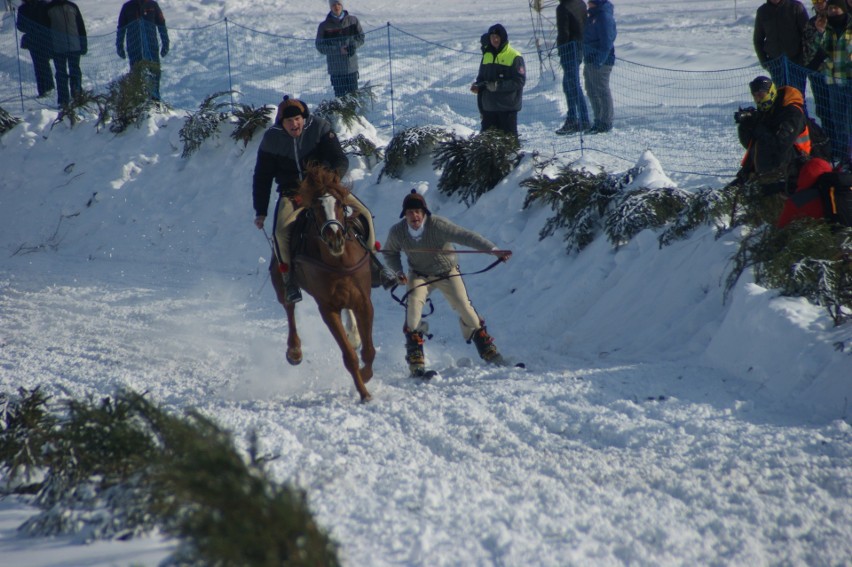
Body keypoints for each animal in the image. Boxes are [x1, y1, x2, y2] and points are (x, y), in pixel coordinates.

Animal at [270, 165, 376, 404]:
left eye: (340, 204)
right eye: (315, 209)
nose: (334, 238)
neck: (339, 261)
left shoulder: (364, 302)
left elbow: (369, 351)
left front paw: (365, 375)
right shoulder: (328, 309)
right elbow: (349, 357)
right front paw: (363, 392)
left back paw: (354, 334)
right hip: (279, 280)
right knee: (289, 307)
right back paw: (294, 350)